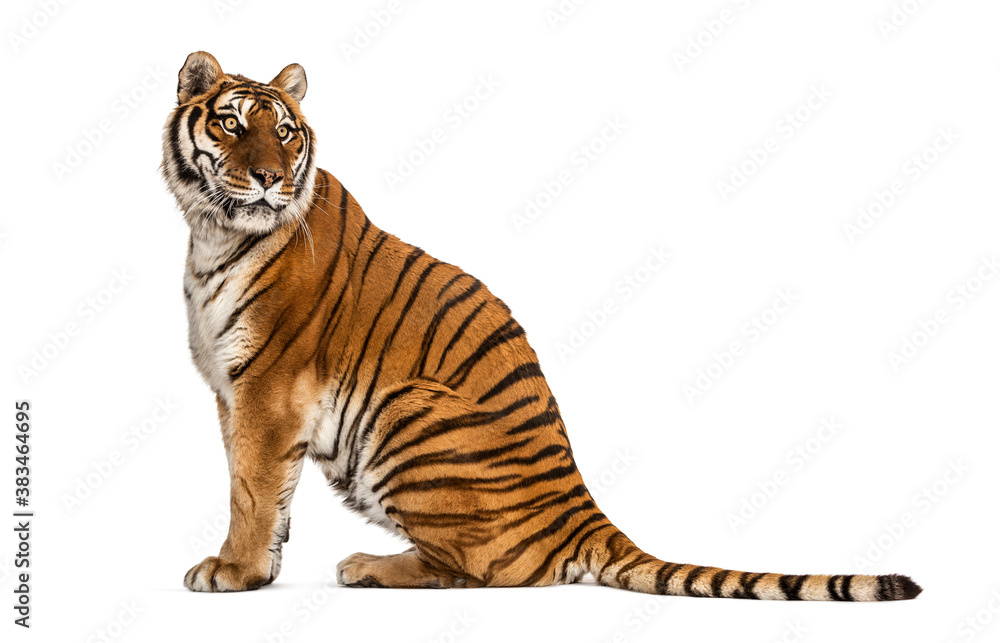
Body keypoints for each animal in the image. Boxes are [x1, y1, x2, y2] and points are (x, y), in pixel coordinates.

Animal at [160, 51, 922, 601]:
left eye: (285, 131)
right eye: (232, 124)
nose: (269, 178)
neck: (213, 234)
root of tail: (580, 509)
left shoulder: (267, 389)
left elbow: (250, 490)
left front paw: (233, 572)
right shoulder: (232, 392)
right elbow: (266, 492)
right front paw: (259, 568)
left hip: (404, 410)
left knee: (487, 568)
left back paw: (367, 565)